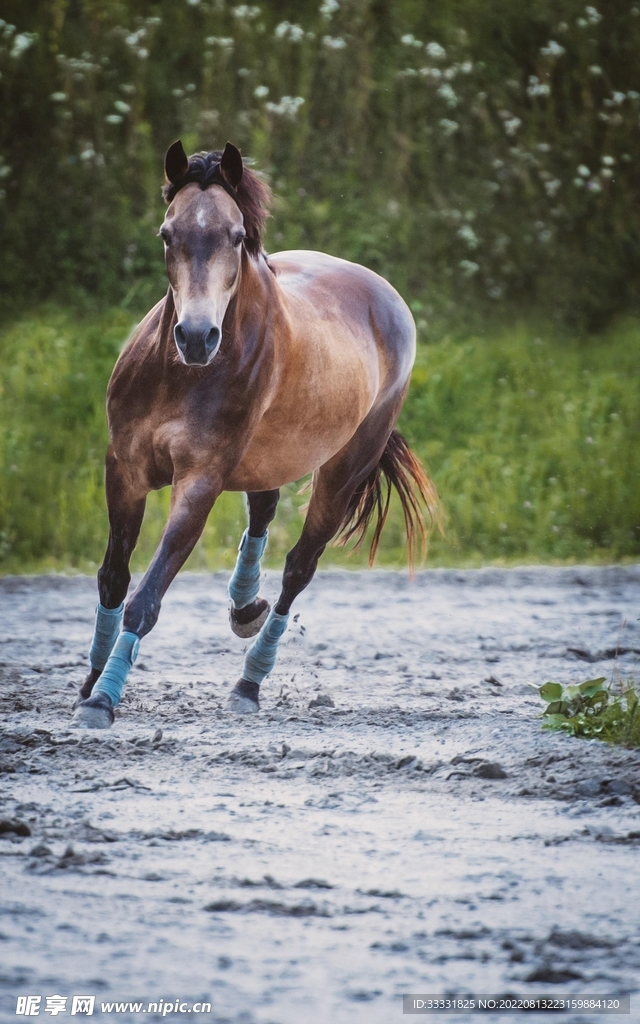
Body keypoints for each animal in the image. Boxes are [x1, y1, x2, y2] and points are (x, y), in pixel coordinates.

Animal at [72, 140, 438, 729]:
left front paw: (104, 698)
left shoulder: (199, 481)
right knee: (264, 509)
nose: (197, 337)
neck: (181, 375)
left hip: (343, 470)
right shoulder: (124, 468)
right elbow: (113, 578)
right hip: (268, 454)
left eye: (237, 236)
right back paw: (245, 605)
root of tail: (385, 295)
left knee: (298, 569)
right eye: (167, 234)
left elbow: (145, 598)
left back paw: (249, 682)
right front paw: (89, 684)